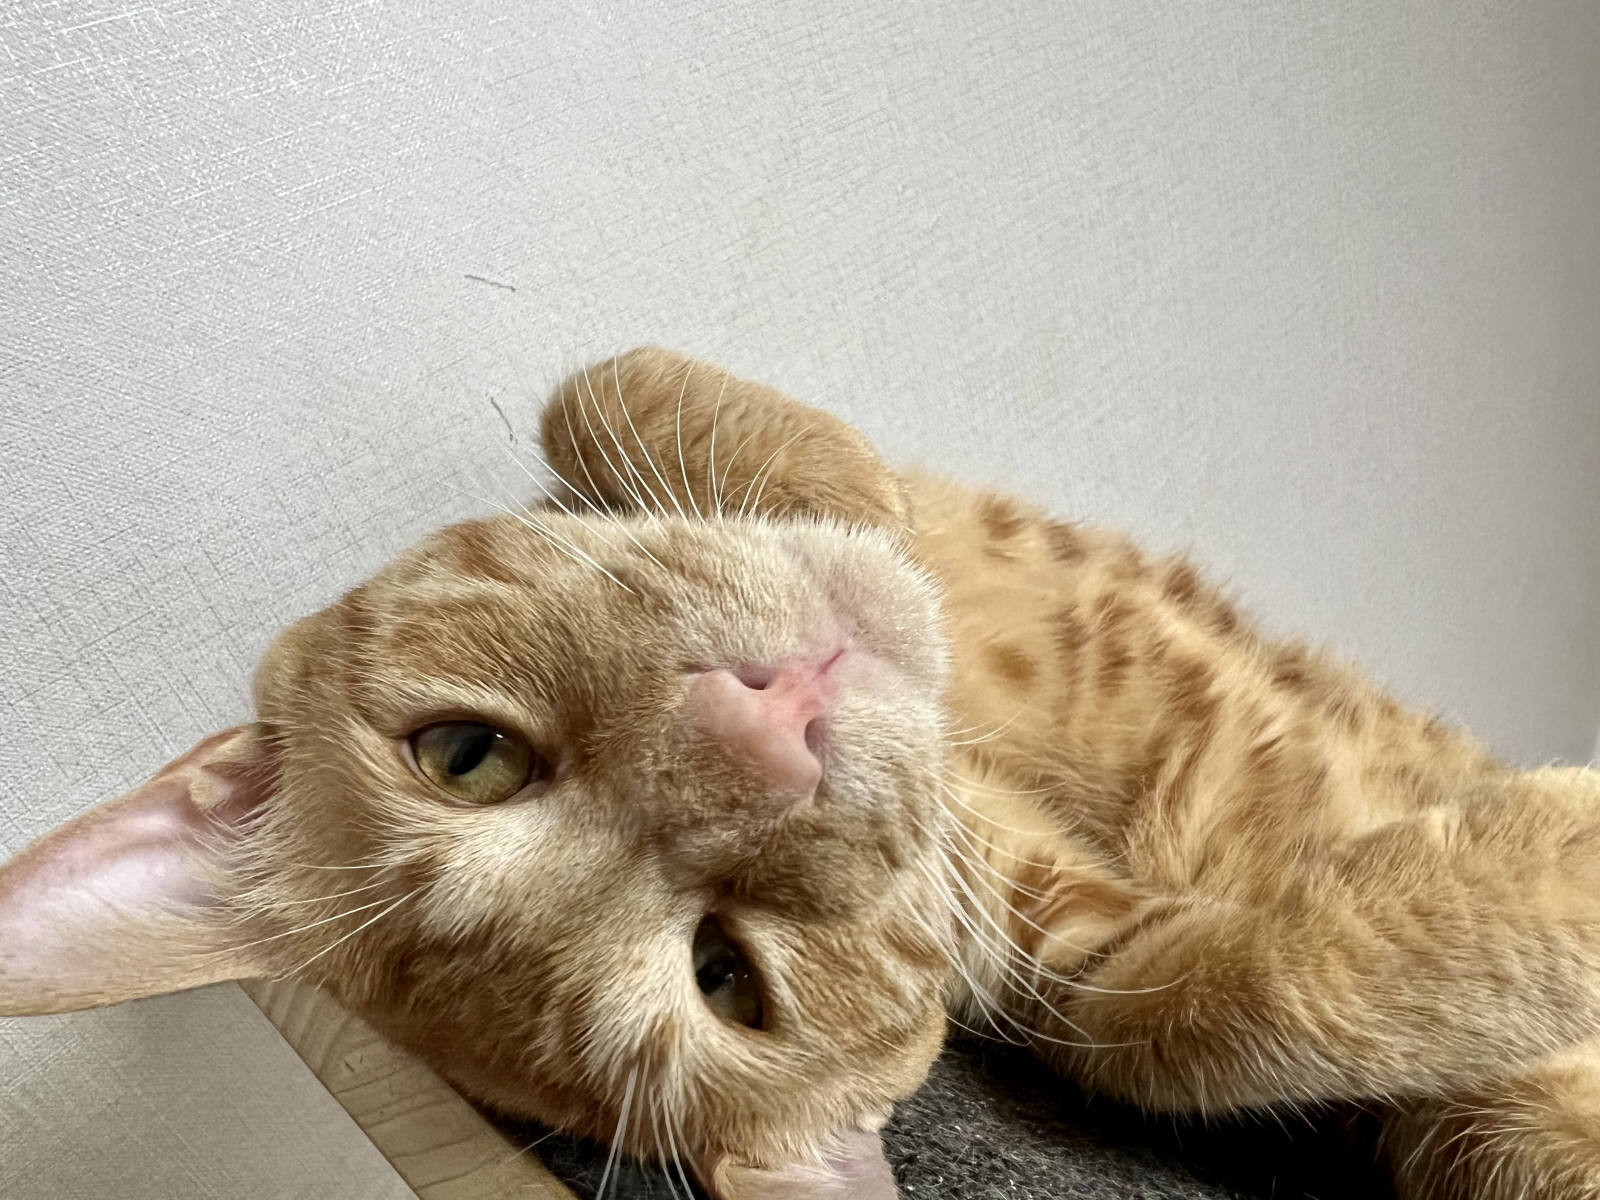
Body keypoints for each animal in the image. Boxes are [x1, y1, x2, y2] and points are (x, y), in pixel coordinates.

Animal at [4, 347, 1600, 1200]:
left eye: (466, 756)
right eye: (729, 977)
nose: (770, 731)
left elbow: (615, 385)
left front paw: (855, 505)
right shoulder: (1097, 968)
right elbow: (1207, 1008)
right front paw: (1561, 852)